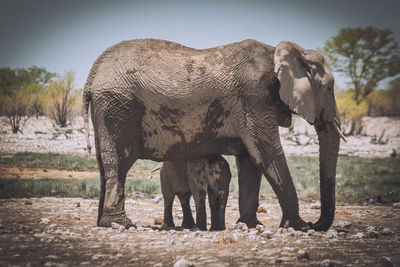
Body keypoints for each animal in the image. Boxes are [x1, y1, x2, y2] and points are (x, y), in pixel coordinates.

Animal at [82, 38, 344, 232]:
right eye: (329, 88)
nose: (315, 223)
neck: (279, 52)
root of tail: (92, 75)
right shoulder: (255, 97)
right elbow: (266, 153)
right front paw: (298, 226)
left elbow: (250, 160)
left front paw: (250, 225)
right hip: (118, 107)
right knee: (119, 162)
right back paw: (121, 224)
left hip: (106, 109)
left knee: (104, 164)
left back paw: (102, 223)